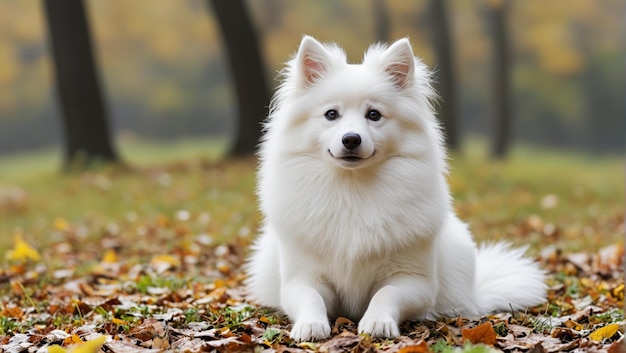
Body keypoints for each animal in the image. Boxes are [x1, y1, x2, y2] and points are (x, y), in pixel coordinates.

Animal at [245, 35, 544, 340]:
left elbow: (386, 293)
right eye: (331, 114)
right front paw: (310, 325)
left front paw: (377, 322)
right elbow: (310, 296)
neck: (353, 188)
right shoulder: (301, 277)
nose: (351, 139)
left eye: (374, 114)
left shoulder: (414, 280)